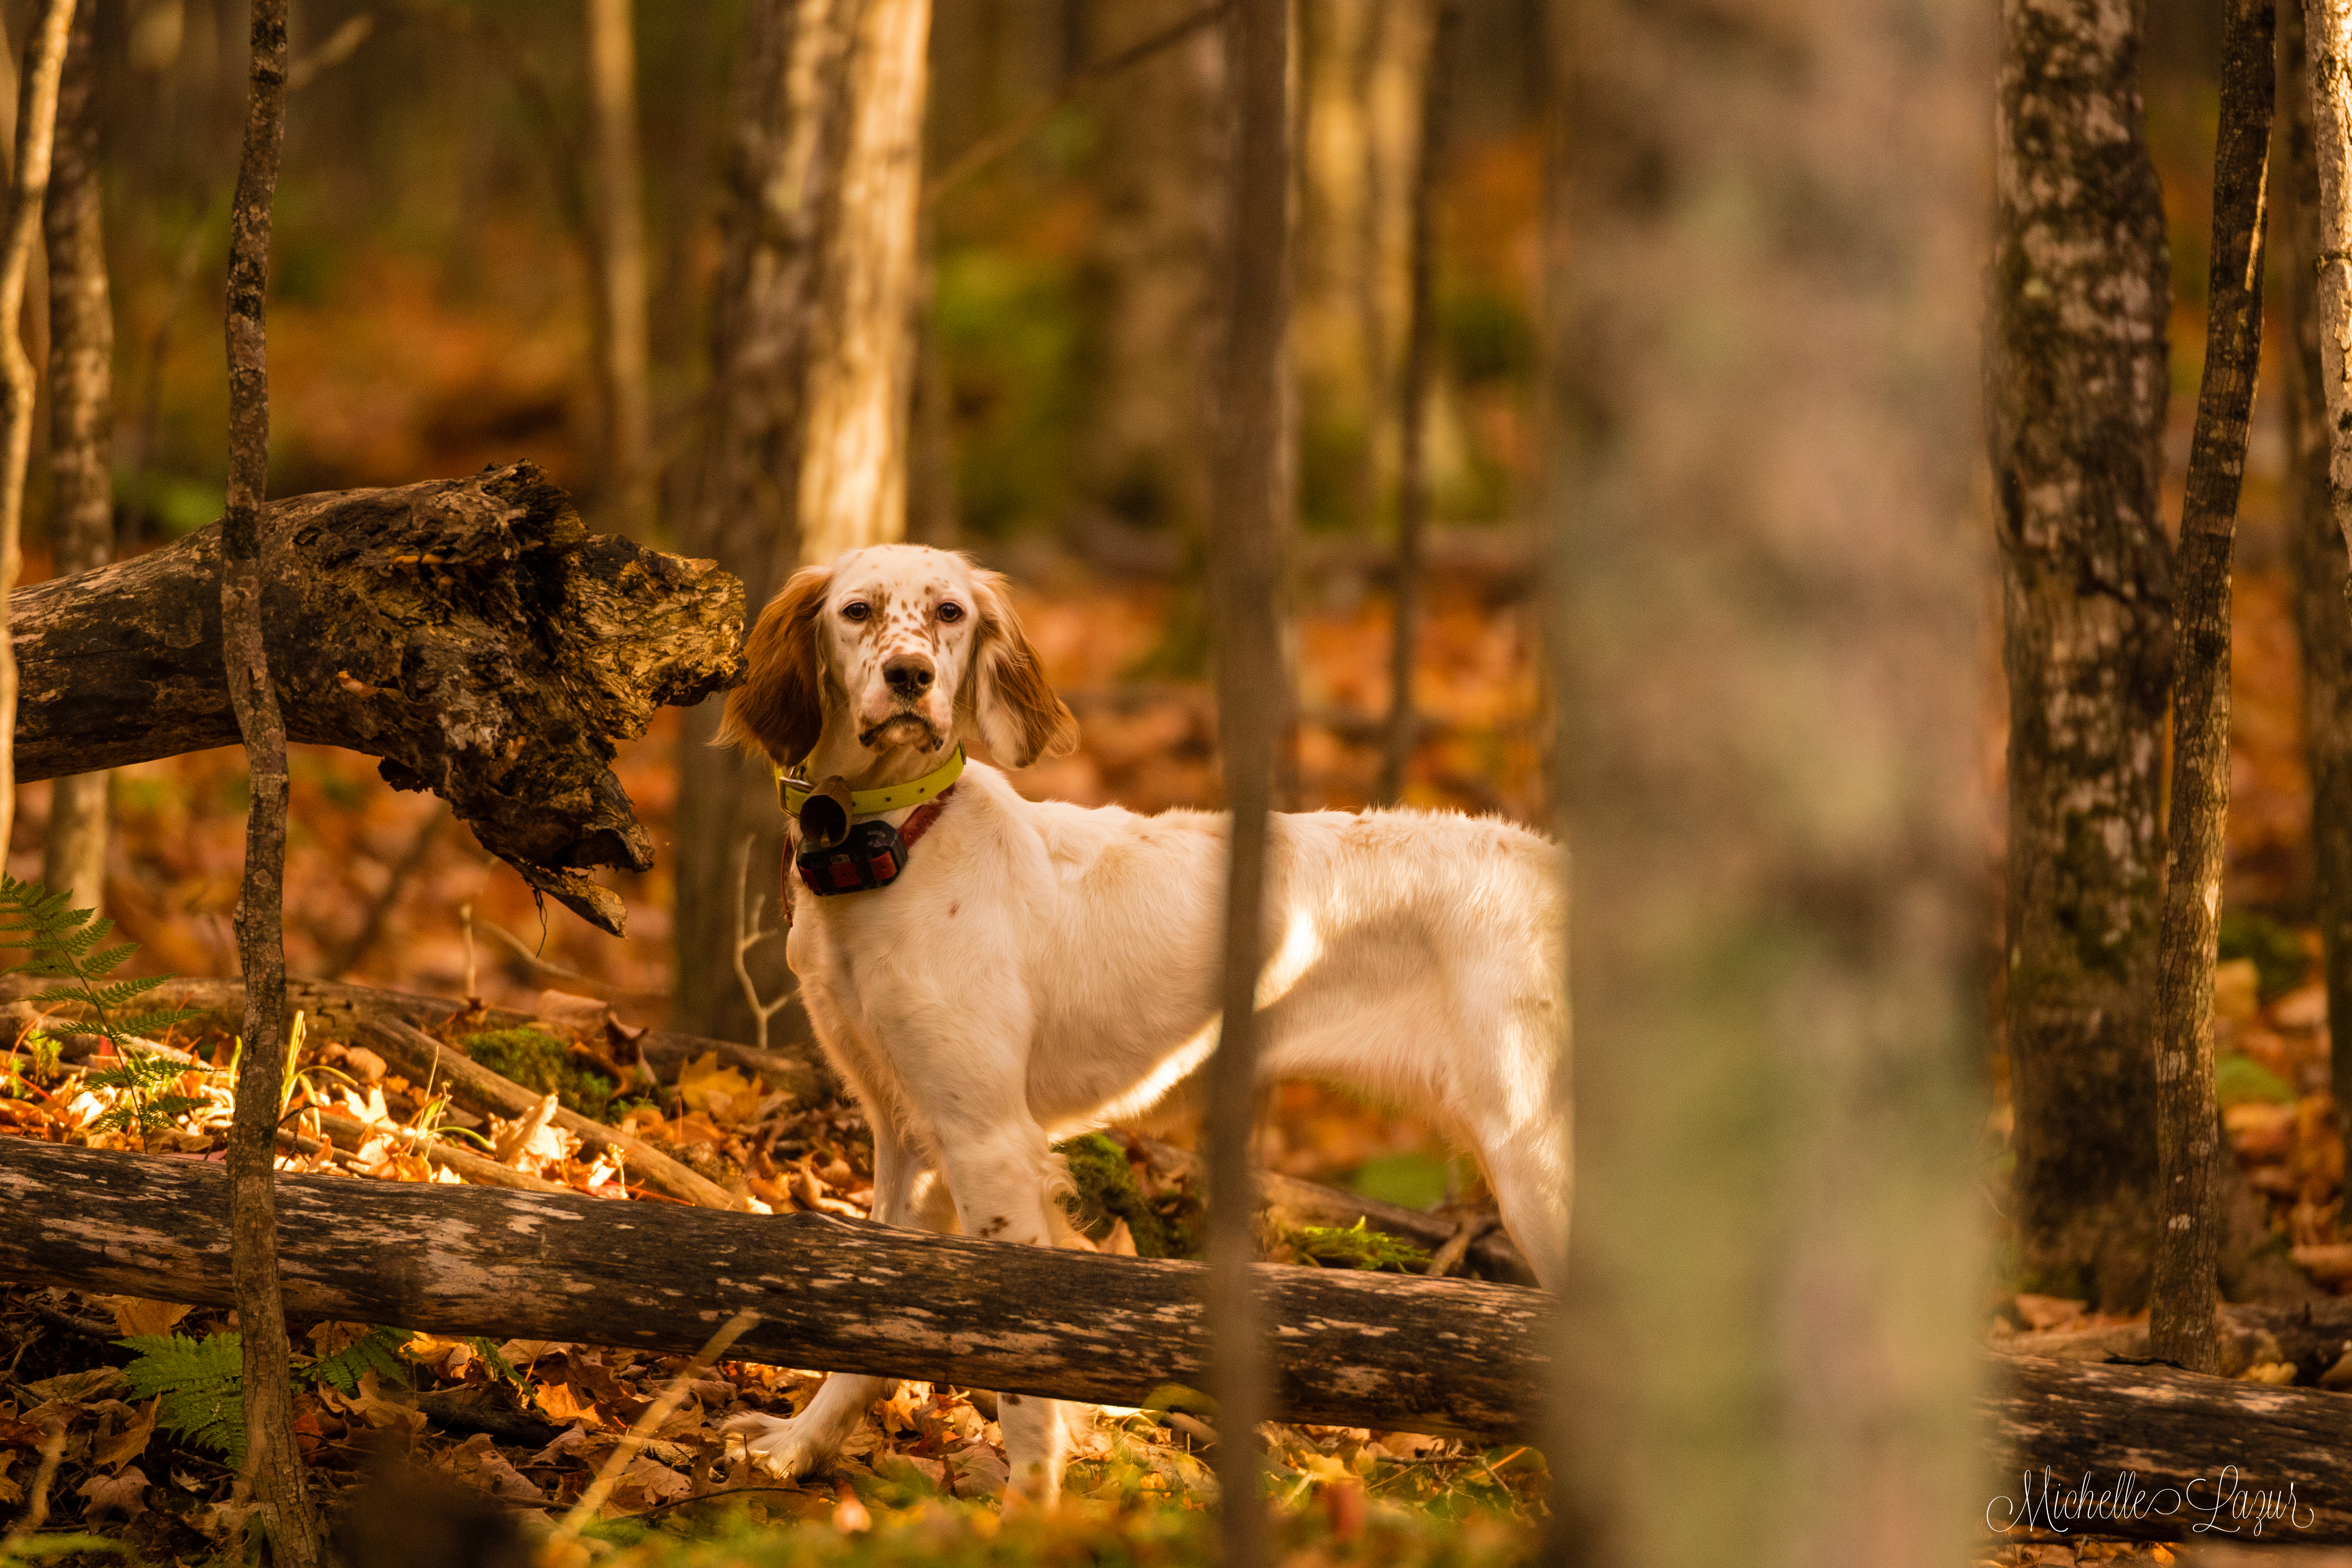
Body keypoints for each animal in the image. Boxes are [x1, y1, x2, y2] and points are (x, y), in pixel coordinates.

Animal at [715, 545, 1562, 1504]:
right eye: (857, 611)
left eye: (949, 613)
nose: (910, 677)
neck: (895, 845)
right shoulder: (905, 1131)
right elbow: (866, 1319)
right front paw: (800, 1443)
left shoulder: (987, 1139)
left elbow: (1018, 1372)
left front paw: (1027, 1509)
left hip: (1537, 1154)